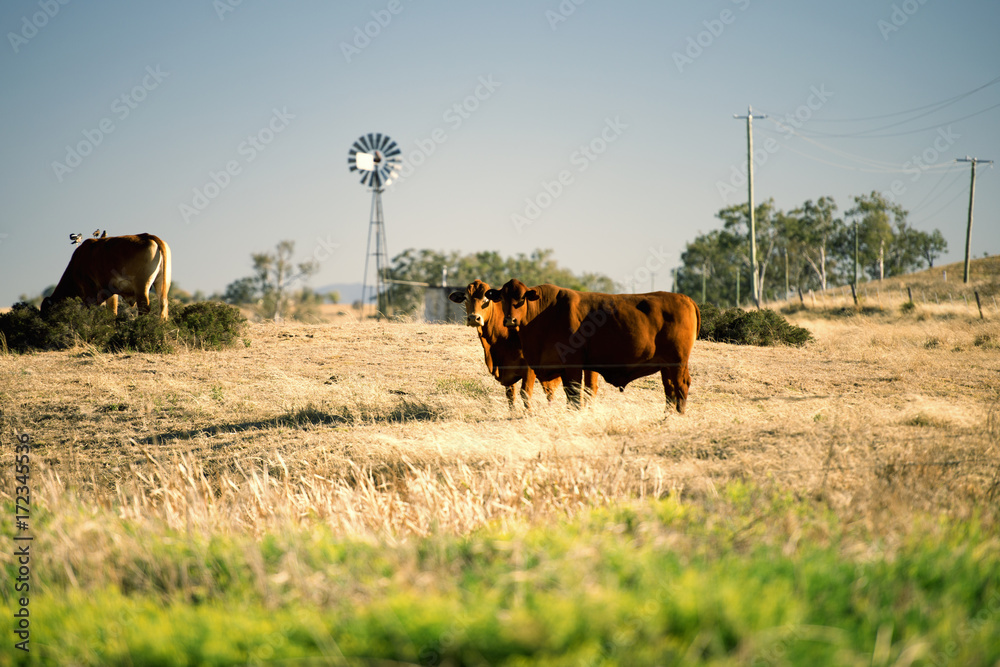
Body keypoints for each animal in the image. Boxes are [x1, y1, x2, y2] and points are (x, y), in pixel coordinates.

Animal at [42, 232, 172, 320]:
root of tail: (147, 236)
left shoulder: (90, 294)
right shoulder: (111, 294)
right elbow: (112, 313)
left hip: (141, 288)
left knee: (144, 309)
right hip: (161, 285)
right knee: (163, 307)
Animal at [450, 280, 596, 410]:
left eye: (486, 299)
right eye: (466, 298)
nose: (474, 318)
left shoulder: (529, 367)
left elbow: (525, 392)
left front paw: (528, 413)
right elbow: (510, 394)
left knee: (590, 388)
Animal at [484, 278, 696, 412]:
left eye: (521, 299)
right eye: (502, 298)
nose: (509, 320)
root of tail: (685, 298)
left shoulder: (573, 365)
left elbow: (575, 398)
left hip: (677, 362)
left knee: (681, 387)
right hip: (667, 365)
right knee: (670, 390)